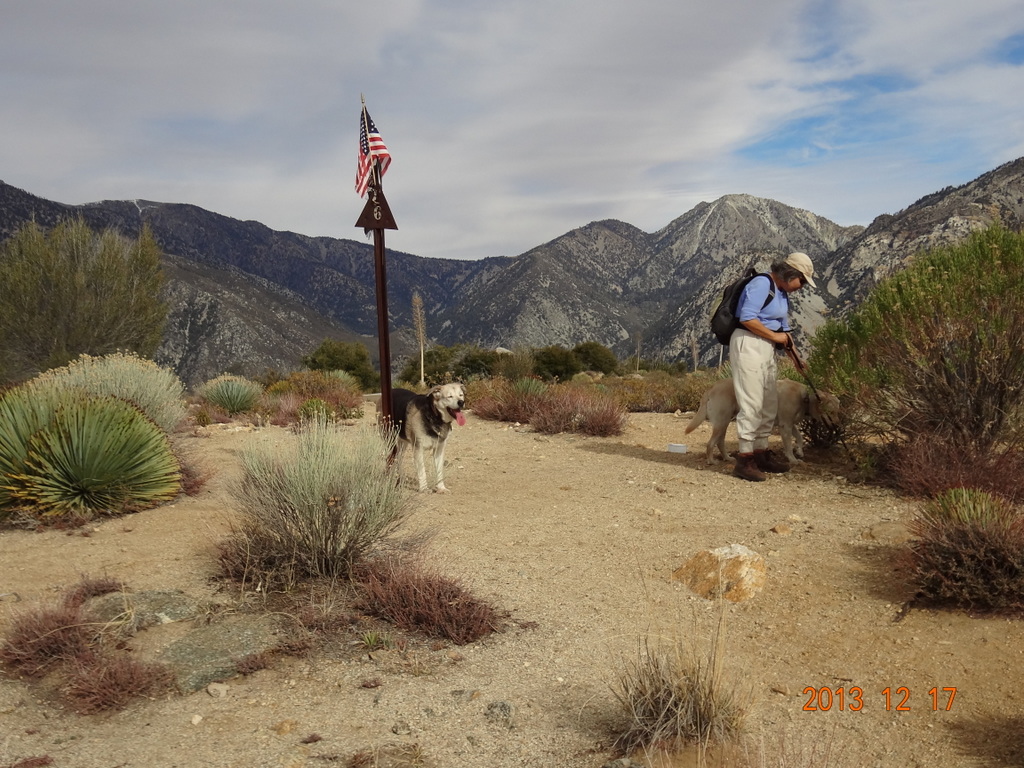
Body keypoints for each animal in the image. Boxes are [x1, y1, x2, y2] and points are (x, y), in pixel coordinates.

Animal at [679, 380, 839, 466]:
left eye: (836, 412)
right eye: (830, 412)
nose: (837, 426)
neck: (804, 399)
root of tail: (711, 388)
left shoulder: (790, 425)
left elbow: (799, 438)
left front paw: (799, 451)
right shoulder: (785, 426)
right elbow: (788, 445)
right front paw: (792, 459)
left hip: (724, 423)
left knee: (720, 443)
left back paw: (727, 458)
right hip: (722, 423)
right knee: (710, 444)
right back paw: (712, 461)